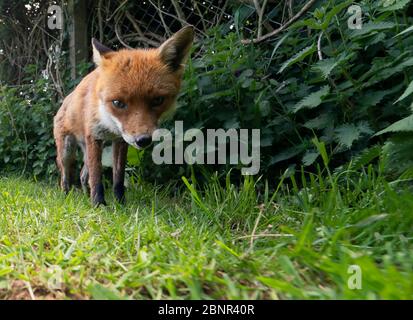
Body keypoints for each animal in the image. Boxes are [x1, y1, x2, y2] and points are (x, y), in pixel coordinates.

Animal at [54, 25, 194, 205]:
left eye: (157, 100)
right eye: (118, 103)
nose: (143, 140)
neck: (110, 124)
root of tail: (65, 99)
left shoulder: (121, 140)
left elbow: (118, 177)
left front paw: (120, 203)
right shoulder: (95, 136)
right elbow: (97, 176)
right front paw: (99, 204)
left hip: (87, 151)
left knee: (83, 175)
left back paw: (85, 197)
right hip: (67, 150)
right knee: (66, 175)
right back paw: (66, 196)